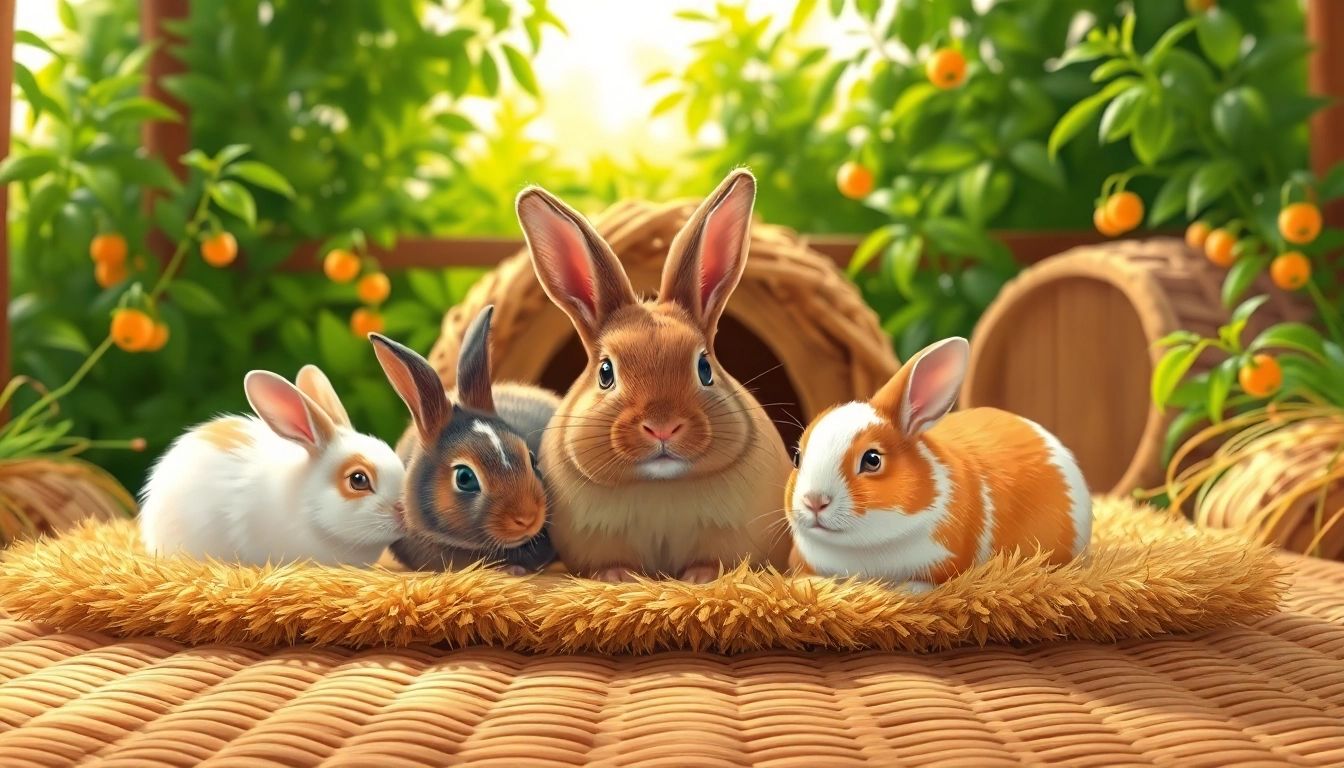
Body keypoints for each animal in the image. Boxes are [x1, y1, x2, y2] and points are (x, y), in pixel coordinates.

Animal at [514, 168, 793, 584]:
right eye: (606, 372)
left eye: (704, 368)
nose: (662, 427)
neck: (661, 484)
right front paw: (618, 578)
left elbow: (715, 561)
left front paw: (700, 578)